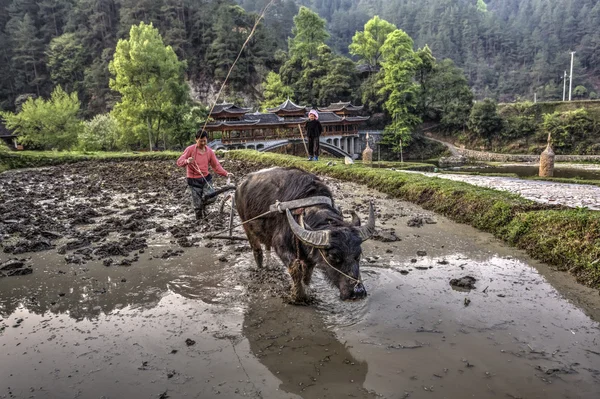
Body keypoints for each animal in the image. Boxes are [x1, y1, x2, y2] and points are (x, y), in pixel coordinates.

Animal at [236, 167, 372, 302]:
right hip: (246, 226)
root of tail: (241, 186)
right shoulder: (281, 247)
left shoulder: (310, 255)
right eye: (333, 256)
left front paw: (307, 290)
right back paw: (260, 268)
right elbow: (296, 270)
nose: (358, 291)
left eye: (358, 255)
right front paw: (298, 296)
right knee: (257, 251)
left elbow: (307, 274)